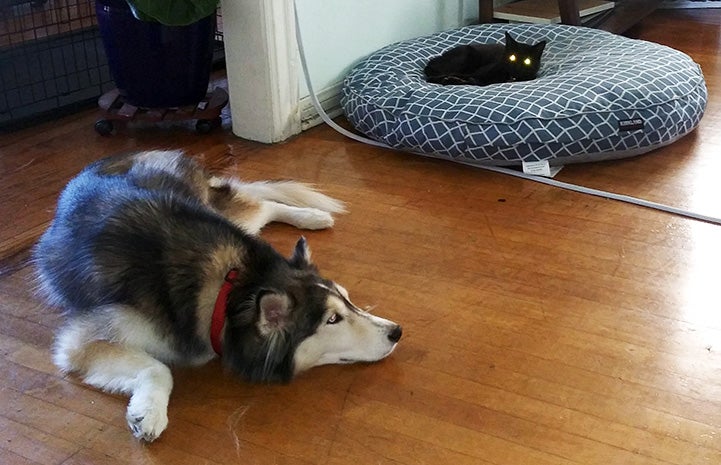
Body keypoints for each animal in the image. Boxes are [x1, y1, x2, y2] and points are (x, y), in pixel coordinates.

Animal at [33, 150, 402, 442]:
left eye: (348, 300)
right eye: (333, 319)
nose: (397, 331)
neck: (230, 294)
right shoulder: (83, 340)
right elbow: (159, 369)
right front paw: (149, 413)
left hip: (225, 215)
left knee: (262, 204)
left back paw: (312, 216)